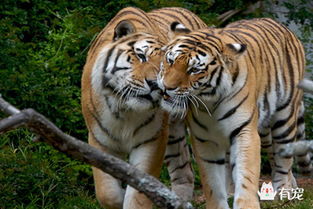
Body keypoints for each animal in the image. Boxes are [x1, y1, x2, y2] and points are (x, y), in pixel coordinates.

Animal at [81, 6, 206, 209]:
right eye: (141, 56)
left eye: (167, 63)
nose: (155, 84)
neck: (125, 109)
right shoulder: (100, 140)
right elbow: (107, 193)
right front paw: (119, 196)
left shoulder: (152, 140)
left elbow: (138, 195)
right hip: (173, 137)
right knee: (184, 171)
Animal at [157, 18, 310, 209]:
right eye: (170, 60)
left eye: (194, 70)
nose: (166, 88)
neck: (210, 102)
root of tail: (282, 26)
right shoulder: (204, 139)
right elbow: (213, 182)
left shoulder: (245, 132)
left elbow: (246, 175)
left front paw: (248, 204)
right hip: (263, 129)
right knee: (270, 155)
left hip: (284, 117)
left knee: (284, 158)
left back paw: (284, 192)